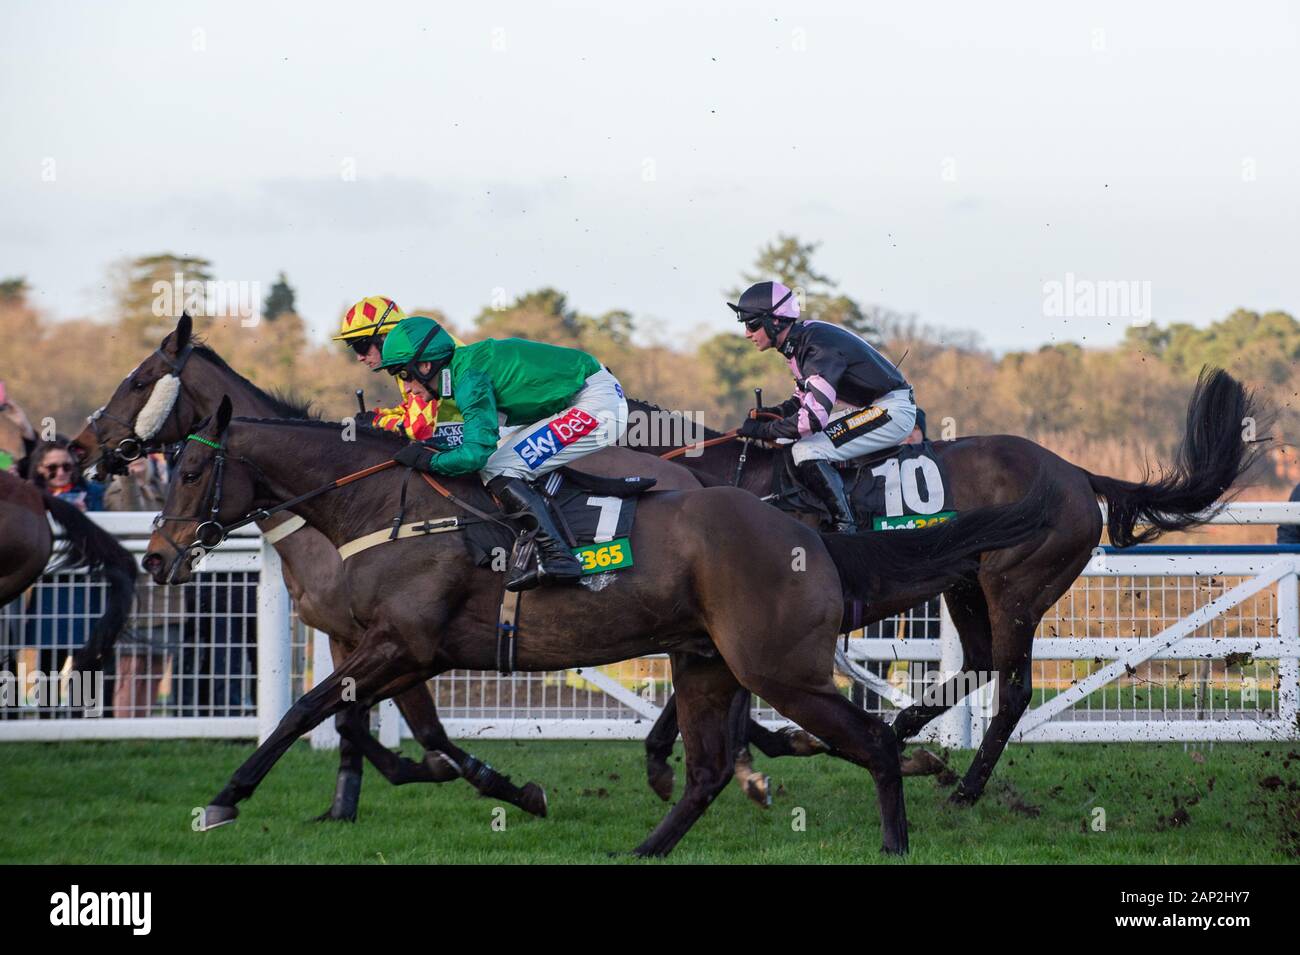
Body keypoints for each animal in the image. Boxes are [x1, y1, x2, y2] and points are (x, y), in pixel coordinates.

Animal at [144, 402, 1055, 857]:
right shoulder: (409, 651)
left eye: (187, 469)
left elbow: (308, 711)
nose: (155, 557)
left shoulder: (399, 643)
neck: (385, 507)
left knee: (868, 739)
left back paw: (898, 833)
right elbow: (375, 727)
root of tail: (808, 533)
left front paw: (224, 800)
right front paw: (502, 785)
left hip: (779, 667)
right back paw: (648, 848)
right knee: (708, 769)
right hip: (707, 661)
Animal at [629, 369, 1258, 805]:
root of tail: (1077, 474)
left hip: (1015, 587)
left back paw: (966, 788)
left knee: (1013, 691)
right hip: (967, 586)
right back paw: (907, 728)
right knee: (978, 663)